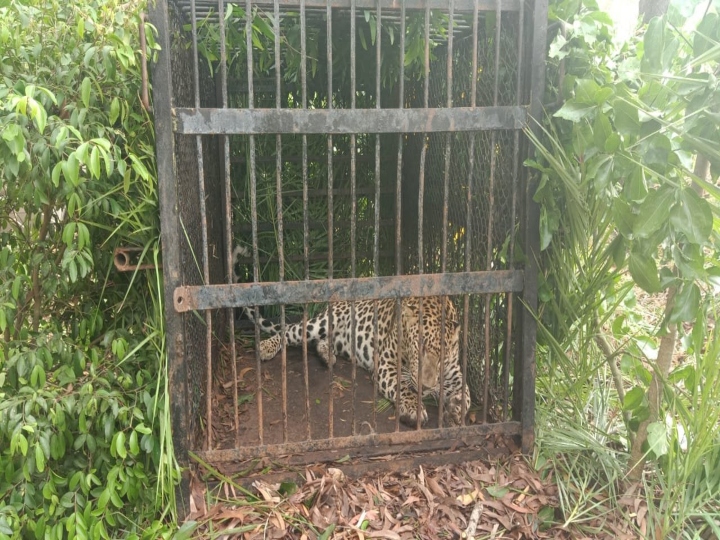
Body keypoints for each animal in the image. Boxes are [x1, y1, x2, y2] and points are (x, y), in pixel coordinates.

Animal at [239, 294, 470, 428]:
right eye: (418, 349)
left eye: (442, 357)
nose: (426, 386)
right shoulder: (386, 363)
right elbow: (403, 387)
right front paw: (414, 410)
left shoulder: (453, 372)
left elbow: (465, 393)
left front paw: (456, 411)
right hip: (322, 322)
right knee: (289, 332)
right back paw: (266, 347)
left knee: (320, 343)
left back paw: (327, 357)